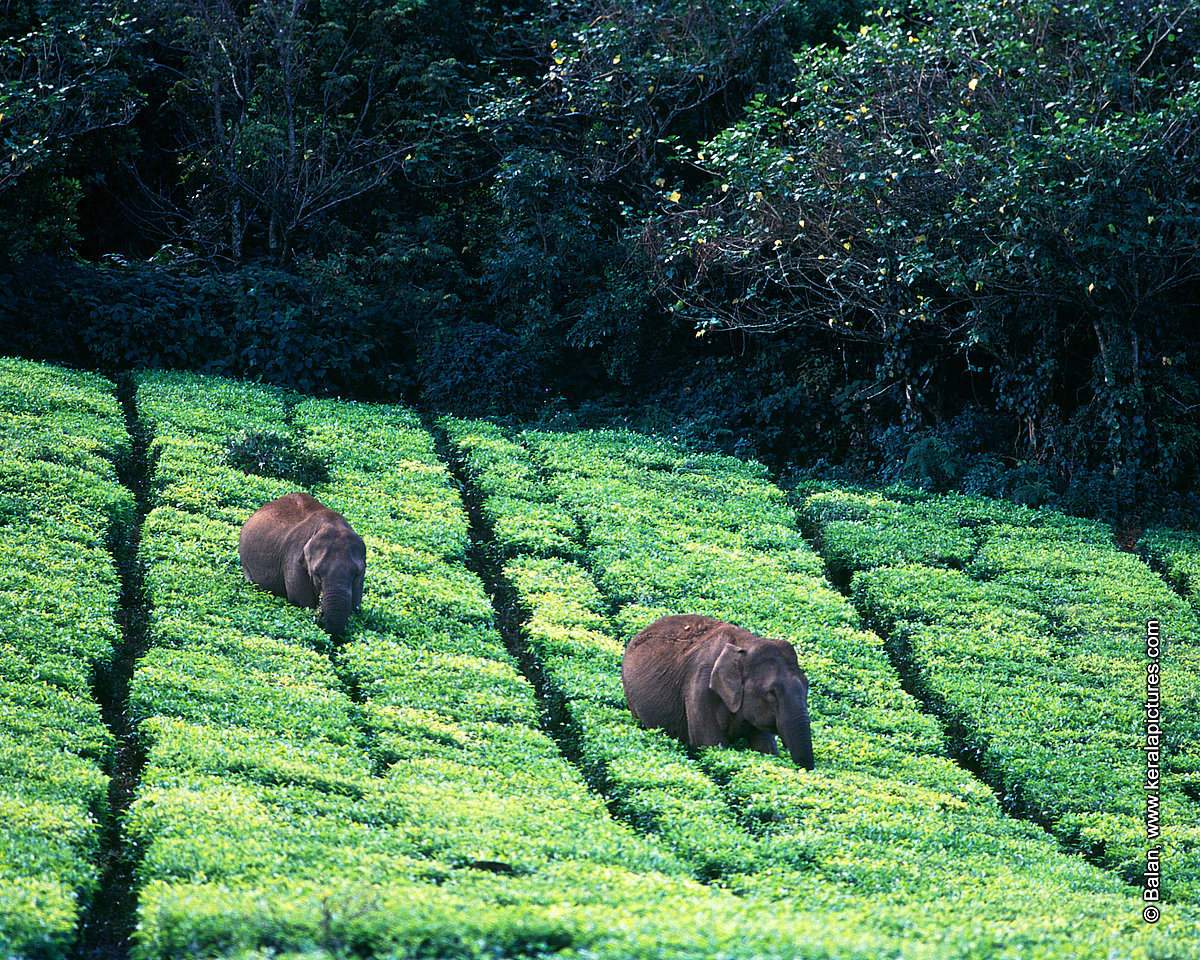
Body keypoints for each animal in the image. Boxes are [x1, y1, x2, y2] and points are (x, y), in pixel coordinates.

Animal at [621, 614, 814, 769]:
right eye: (771, 693)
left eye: (807, 686)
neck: (746, 643)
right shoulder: (699, 686)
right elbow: (709, 744)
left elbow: (765, 747)